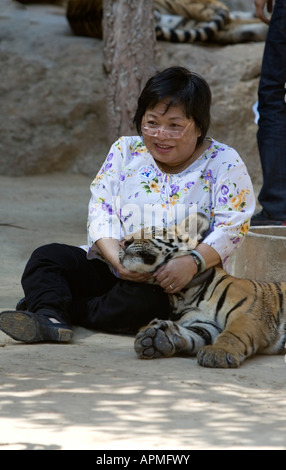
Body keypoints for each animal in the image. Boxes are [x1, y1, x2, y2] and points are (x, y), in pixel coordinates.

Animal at [118, 215, 286, 370]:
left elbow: (232, 334)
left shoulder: (247, 313)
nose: (122, 242)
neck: (183, 295)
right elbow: (192, 335)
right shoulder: (204, 323)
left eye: (153, 231)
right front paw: (157, 338)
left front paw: (218, 352)